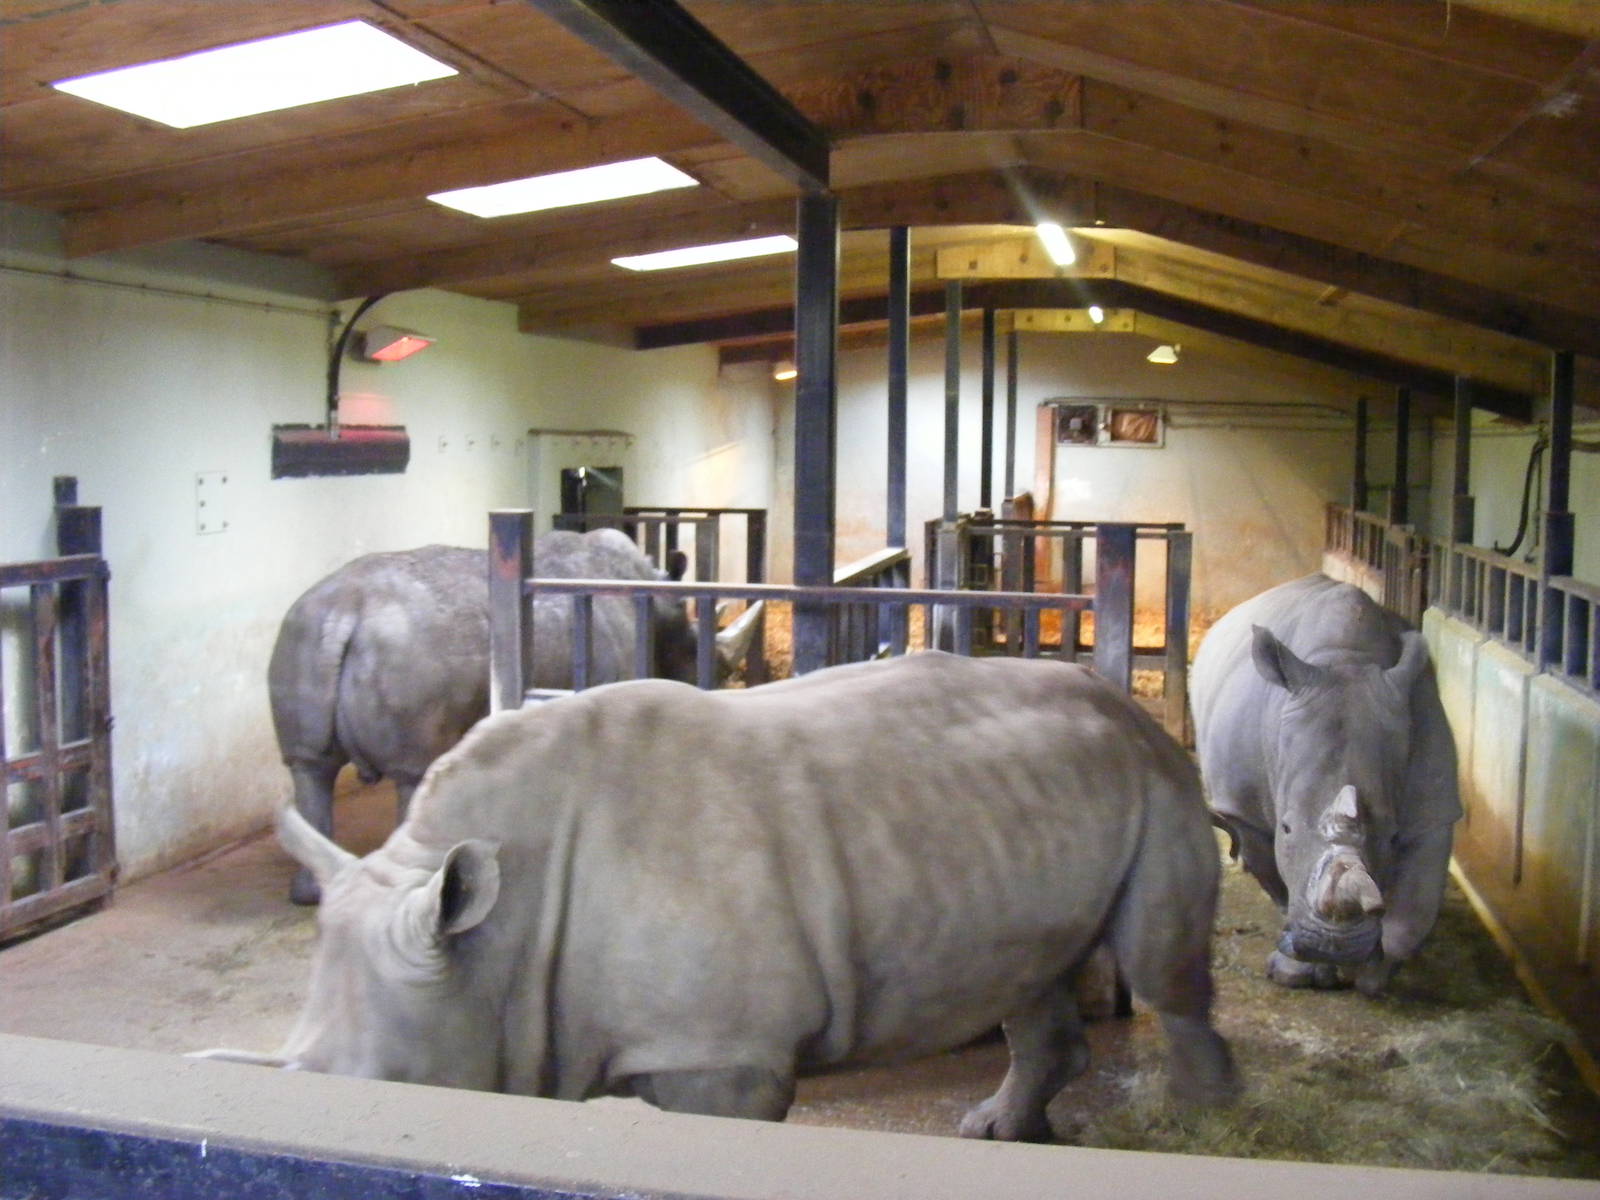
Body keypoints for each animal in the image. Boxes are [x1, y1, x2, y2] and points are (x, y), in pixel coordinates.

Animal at [209, 652, 1237, 1139]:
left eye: (382, 1090)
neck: (498, 941)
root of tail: (1122, 698)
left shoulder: (721, 1056)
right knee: (1027, 974)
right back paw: (996, 1131)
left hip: (1158, 775)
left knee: (1159, 969)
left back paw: (1203, 1122)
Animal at [268, 528, 761, 905]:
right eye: (711, 664)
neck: (657, 610)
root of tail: (345, 612)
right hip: (405, 653)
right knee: (412, 771)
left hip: (302, 632)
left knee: (309, 768)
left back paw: (308, 894)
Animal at [1190, 573, 1461, 995]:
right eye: (1286, 827)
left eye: (1394, 836)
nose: (1336, 946)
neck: (1346, 658)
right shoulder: (1244, 807)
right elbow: (1282, 882)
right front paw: (1296, 970)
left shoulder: (1433, 801)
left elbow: (1413, 913)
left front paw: (1372, 975)